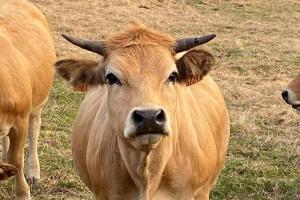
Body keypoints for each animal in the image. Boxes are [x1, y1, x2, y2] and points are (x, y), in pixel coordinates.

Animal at [0, 0, 55, 198]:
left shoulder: (20, 120)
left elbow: (17, 159)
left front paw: (23, 192)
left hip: (37, 104)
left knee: (34, 128)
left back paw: (33, 172)